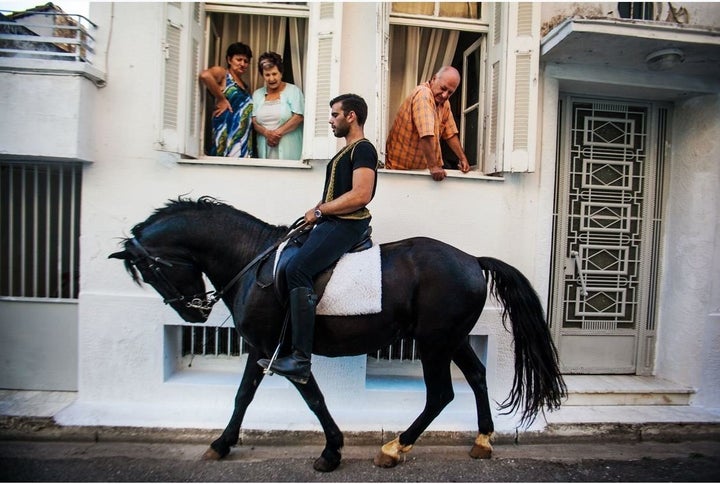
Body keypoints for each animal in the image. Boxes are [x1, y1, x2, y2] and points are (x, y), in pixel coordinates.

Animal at [109, 195, 564, 470]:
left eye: (151, 270)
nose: (193, 313)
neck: (251, 260)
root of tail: (472, 259)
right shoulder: (263, 348)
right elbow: (247, 396)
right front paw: (222, 443)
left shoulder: (279, 351)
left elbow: (307, 397)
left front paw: (331, 450)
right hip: (451, 339)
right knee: (477, 376)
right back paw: (482, 441)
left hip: (434, 342)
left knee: (441, 394)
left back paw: (395, 447)